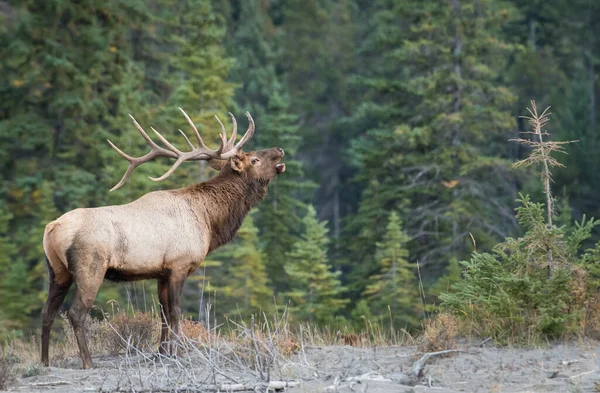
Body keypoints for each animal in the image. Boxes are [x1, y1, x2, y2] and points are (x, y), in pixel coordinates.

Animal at [42, 108, 286, 368]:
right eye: (255, 159)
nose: (280, 150)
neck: (209, 222)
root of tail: (52, 228)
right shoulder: (179, 265)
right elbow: (176, 312)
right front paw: (177, 353)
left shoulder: (161, 273)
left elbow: (163, 314)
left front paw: (162, 353)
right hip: (90, 267)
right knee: (76, 313)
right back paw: (88, 362)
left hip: (57, 271)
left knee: (47, 312)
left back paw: (44, 362)